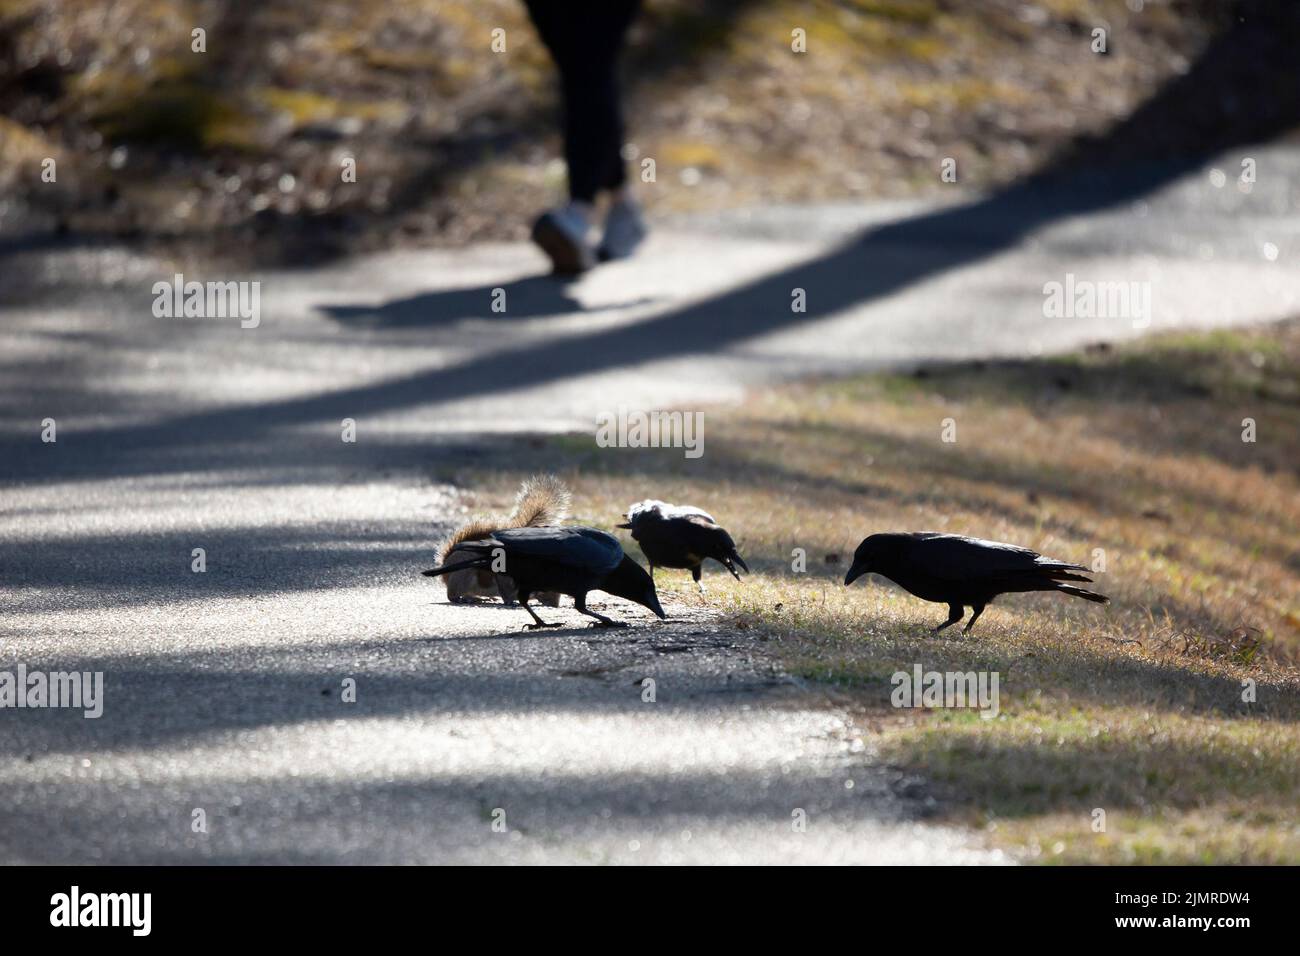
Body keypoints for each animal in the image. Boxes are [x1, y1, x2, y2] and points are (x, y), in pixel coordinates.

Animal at [439, 475, 572, 606]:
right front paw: (512, 601)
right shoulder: (504, 576)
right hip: (463, 575)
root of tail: (445, 569)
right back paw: (464, 599)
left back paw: (482, 598)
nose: (555, 604)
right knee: (452, 595)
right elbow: (506, 591)